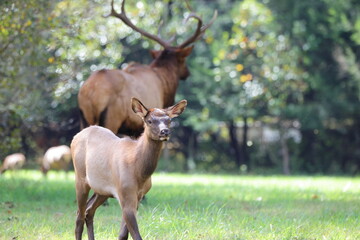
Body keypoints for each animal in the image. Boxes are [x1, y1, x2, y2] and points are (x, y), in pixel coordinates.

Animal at [71, 97, 187, 240]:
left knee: (88, 211)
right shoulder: (125, 192)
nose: (165, 131)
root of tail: (75, 137)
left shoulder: (138, 196)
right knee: (79, 216)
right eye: (149, 121)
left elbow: (123, 235)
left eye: (169, 120)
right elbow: (135, 235)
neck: (139, 172)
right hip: (80, 177)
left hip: (102, 190)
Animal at [78, 0, 217, 136]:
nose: (187, 73)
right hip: (111, 118)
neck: (165, 85)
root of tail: (90, 93)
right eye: (183, 61)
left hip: (84, 119)